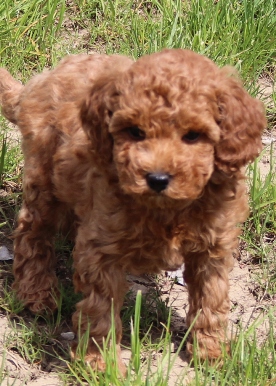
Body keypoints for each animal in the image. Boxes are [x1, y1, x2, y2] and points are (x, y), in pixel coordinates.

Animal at [0, 49, 268, 370]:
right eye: (135, 132)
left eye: (193, 136)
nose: (157, 178)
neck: (167, 209)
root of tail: (40, 80)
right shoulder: (102, 248)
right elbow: (100, 307)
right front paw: (99, 363)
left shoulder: (213, 246)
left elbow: (211, 298)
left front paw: (211, 352)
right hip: (44, 178)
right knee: (32, 231)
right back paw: (37, 293)